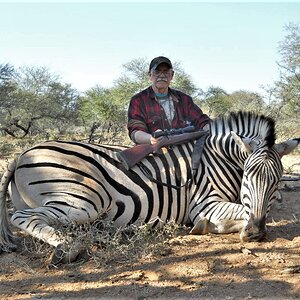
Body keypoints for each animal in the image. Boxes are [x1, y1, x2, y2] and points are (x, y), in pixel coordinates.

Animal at [0, 111, 298, 264]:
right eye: (247, 176)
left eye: (276, 181)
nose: (255, 233)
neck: (217, 158)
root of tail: (20, 156)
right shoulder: (204, 203)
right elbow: (239, 212)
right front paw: (206, 226)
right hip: (84, 201)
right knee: (23, 217)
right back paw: (69, 248)